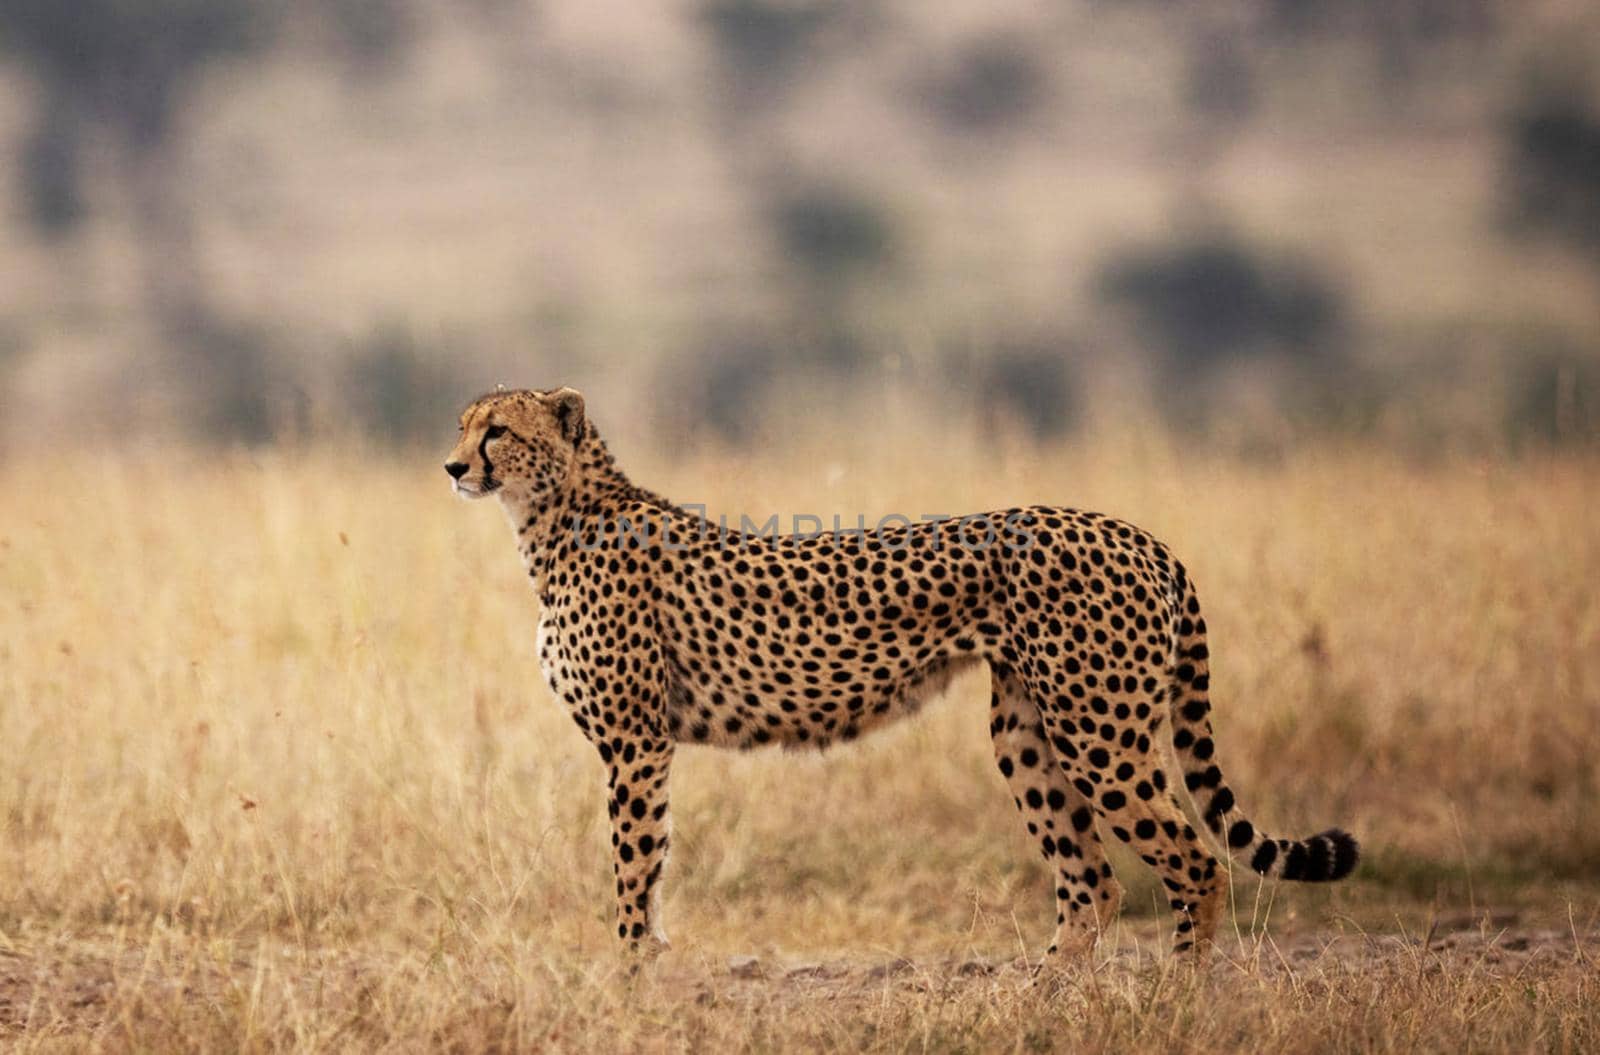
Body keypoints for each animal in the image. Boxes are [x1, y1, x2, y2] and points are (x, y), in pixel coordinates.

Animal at [441, 390, 1363, 966]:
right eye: (463, 426)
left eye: (497, 431)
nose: (452, 468)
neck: (556, 516)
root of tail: (1133, 530)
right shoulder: (643, 743)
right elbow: (645, 870)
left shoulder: (636, 742)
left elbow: (634, 872)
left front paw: (630, 982)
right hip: (1026, 732)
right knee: (1091, 883)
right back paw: (1036, 1007)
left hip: (1099, 732)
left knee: (1194, 863)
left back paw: (1174, 1003)